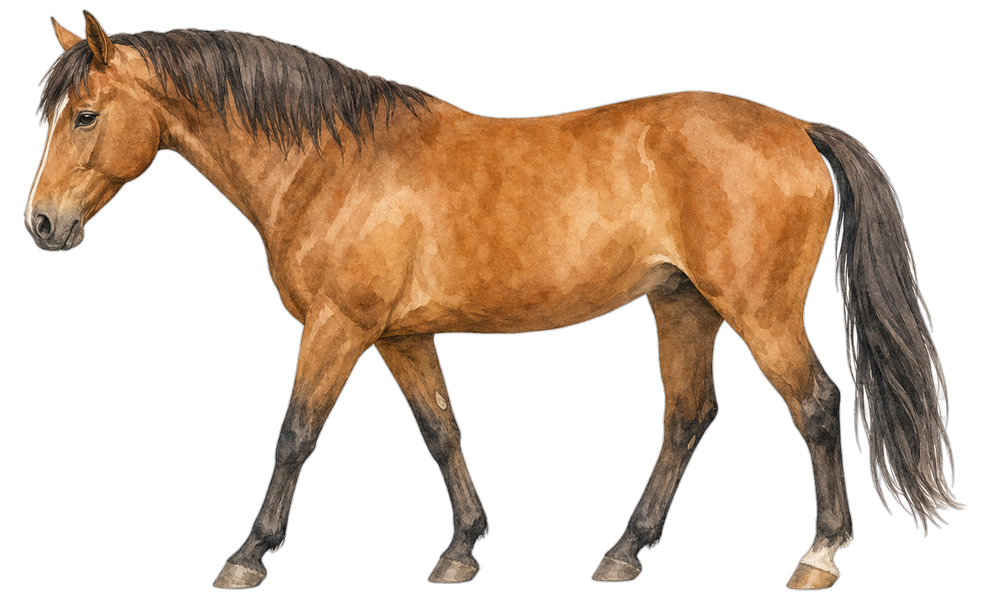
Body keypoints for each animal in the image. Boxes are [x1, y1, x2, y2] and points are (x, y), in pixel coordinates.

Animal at [26, 11, 960, 590]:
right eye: (53, 113)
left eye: (87, 115)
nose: (41, 223)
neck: (332, 163)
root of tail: (798, 128)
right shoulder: (399, 337)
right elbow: (441, 431)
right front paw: (461, 548)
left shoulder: (338, 327)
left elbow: (296, 433)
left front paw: (248, 555)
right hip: (683, 307)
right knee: (690, 416)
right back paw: (623, 552)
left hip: (757, 312)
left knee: (815, 405)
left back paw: (819, 553)